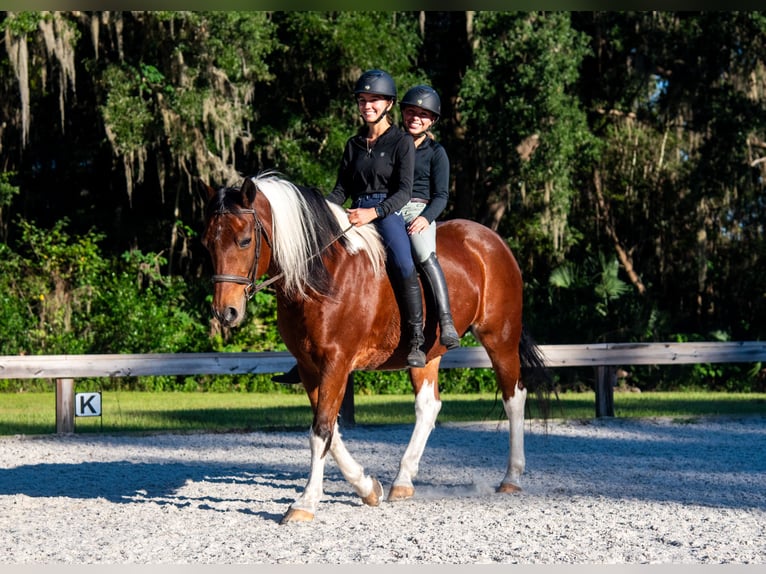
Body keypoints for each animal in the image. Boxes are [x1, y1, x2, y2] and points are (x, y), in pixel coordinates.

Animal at [201, 172, 550, 524]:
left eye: (245, 241)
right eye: (207, 244)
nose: (225, 312)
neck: (322, 274)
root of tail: (491, 240)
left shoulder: (336, 363)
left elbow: (321, 431)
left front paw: (305, 503)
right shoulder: (310, 367)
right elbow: (329, 431)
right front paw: (368, 488)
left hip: (499, 338)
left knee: (513, 398)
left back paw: (511, 477)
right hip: (427, 352)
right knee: (428, 406)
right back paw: (403, 481)